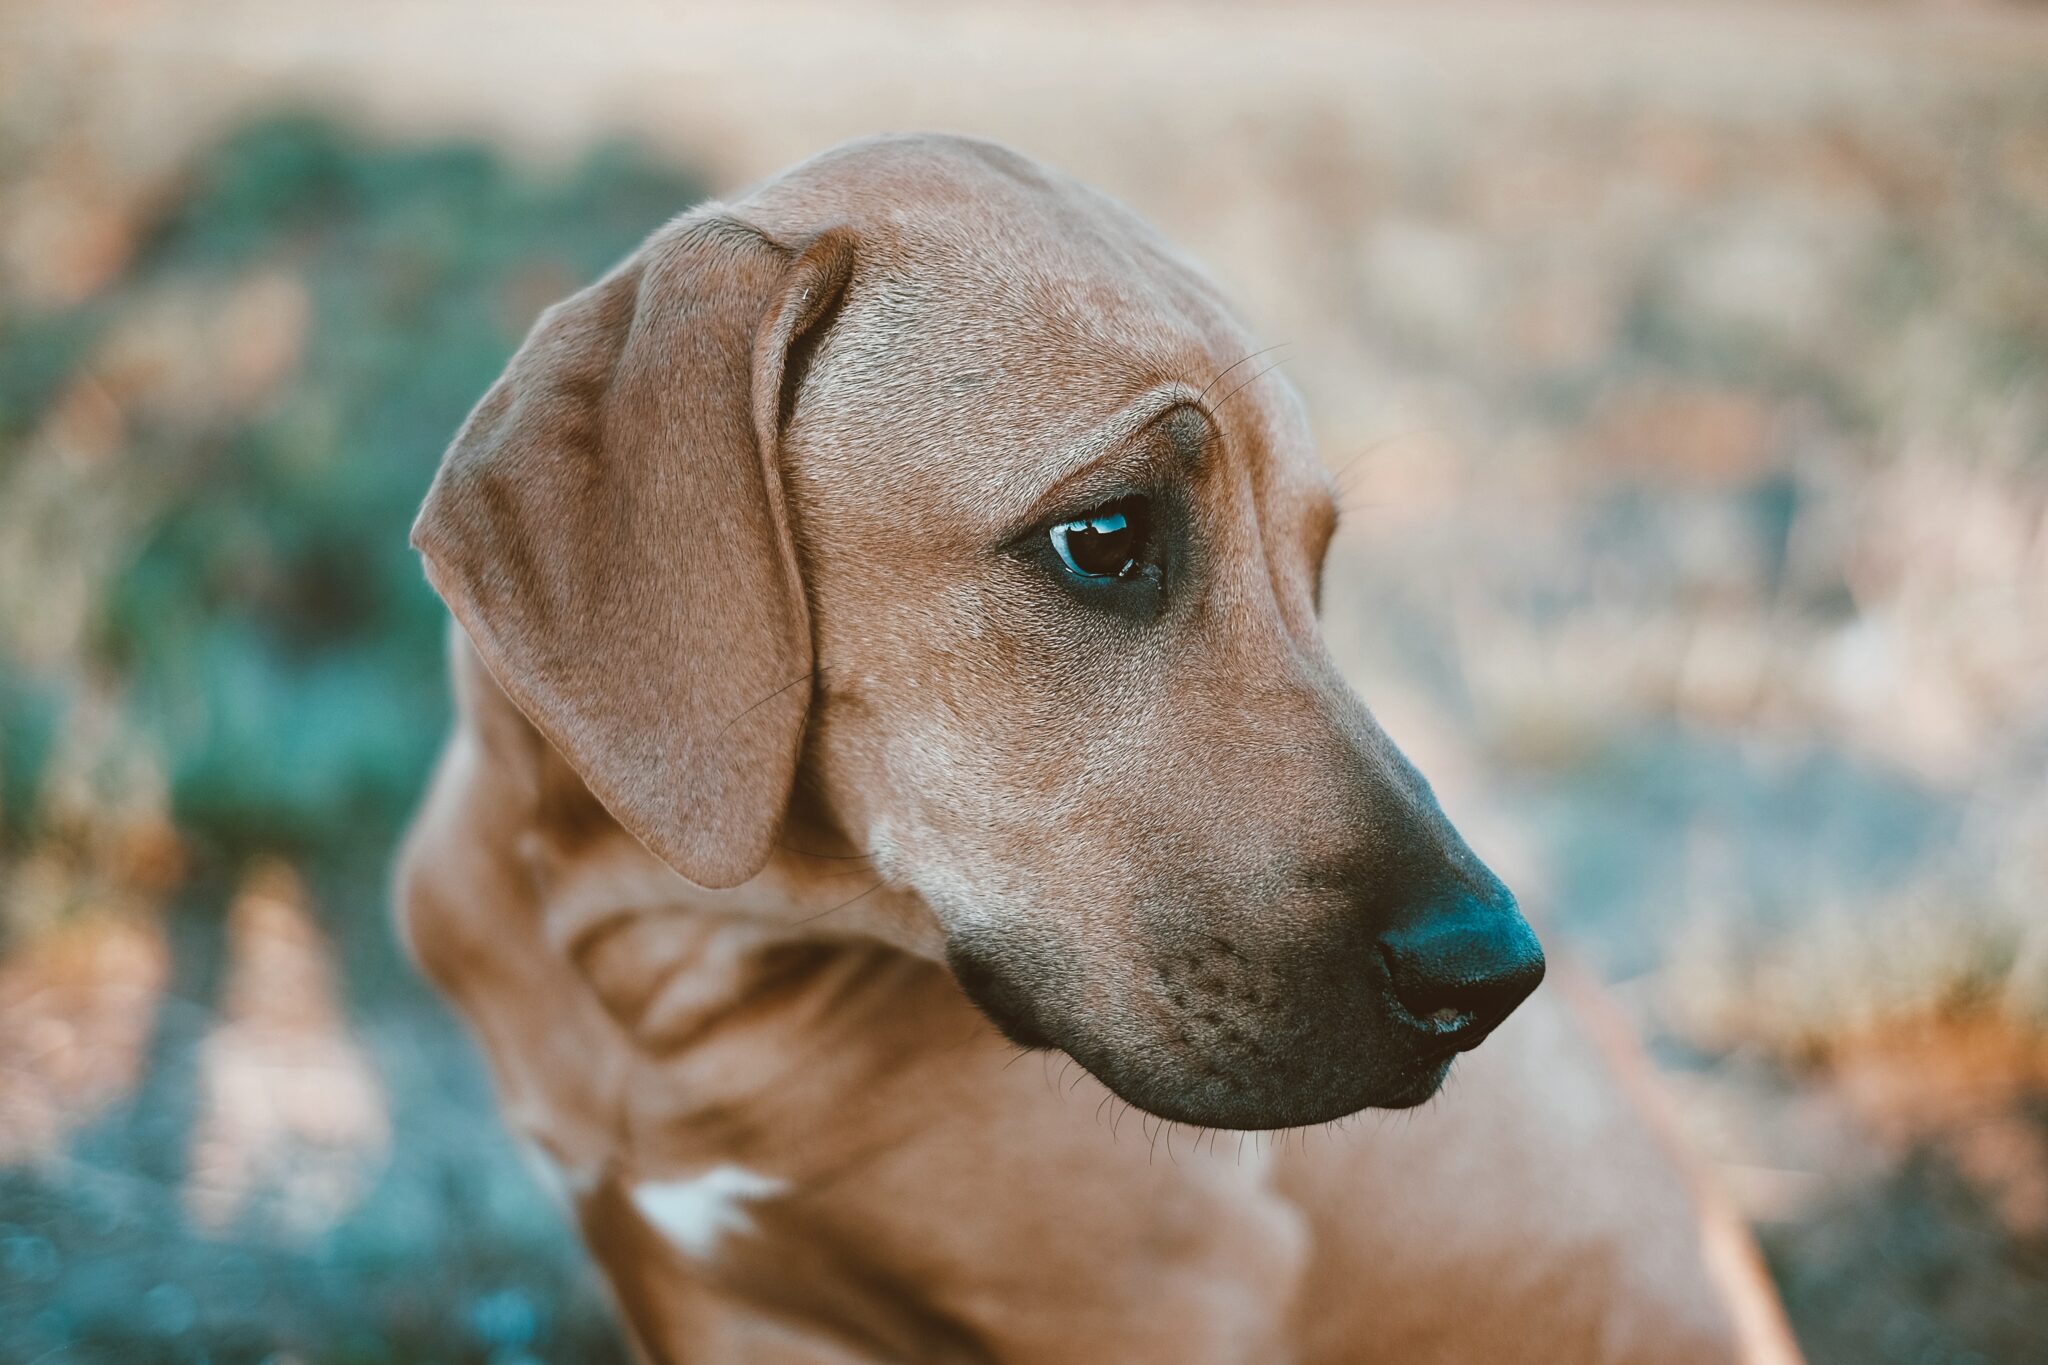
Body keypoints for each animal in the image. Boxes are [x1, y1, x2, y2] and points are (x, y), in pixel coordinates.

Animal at [391, 130, 1802, 1365]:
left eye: (1314, 569)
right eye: (1106, 537)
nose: (1492, 977)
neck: (677, 969)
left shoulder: (1157, 1304)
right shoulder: (715, 1311)